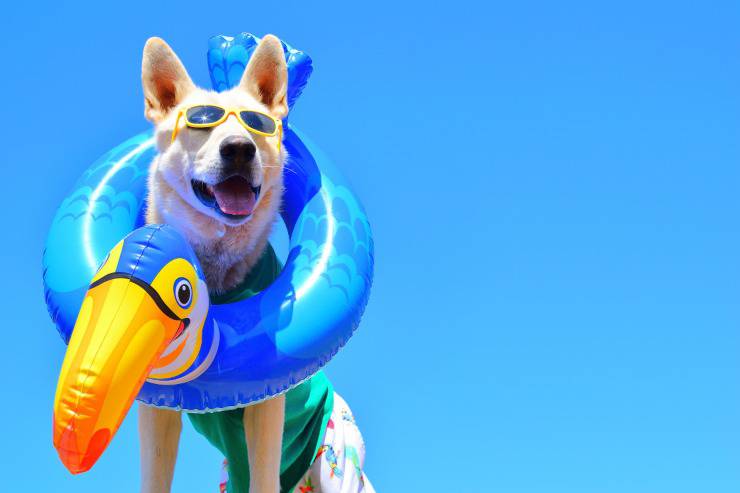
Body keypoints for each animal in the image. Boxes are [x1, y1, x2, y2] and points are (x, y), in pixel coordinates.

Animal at [138, 35, 372, 492]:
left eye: (257, 124)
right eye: (200, 121)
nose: (239, 149)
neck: (216, 268)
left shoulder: (266, 407)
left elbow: (263, 474)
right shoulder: (156, 411)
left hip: (340, 461)